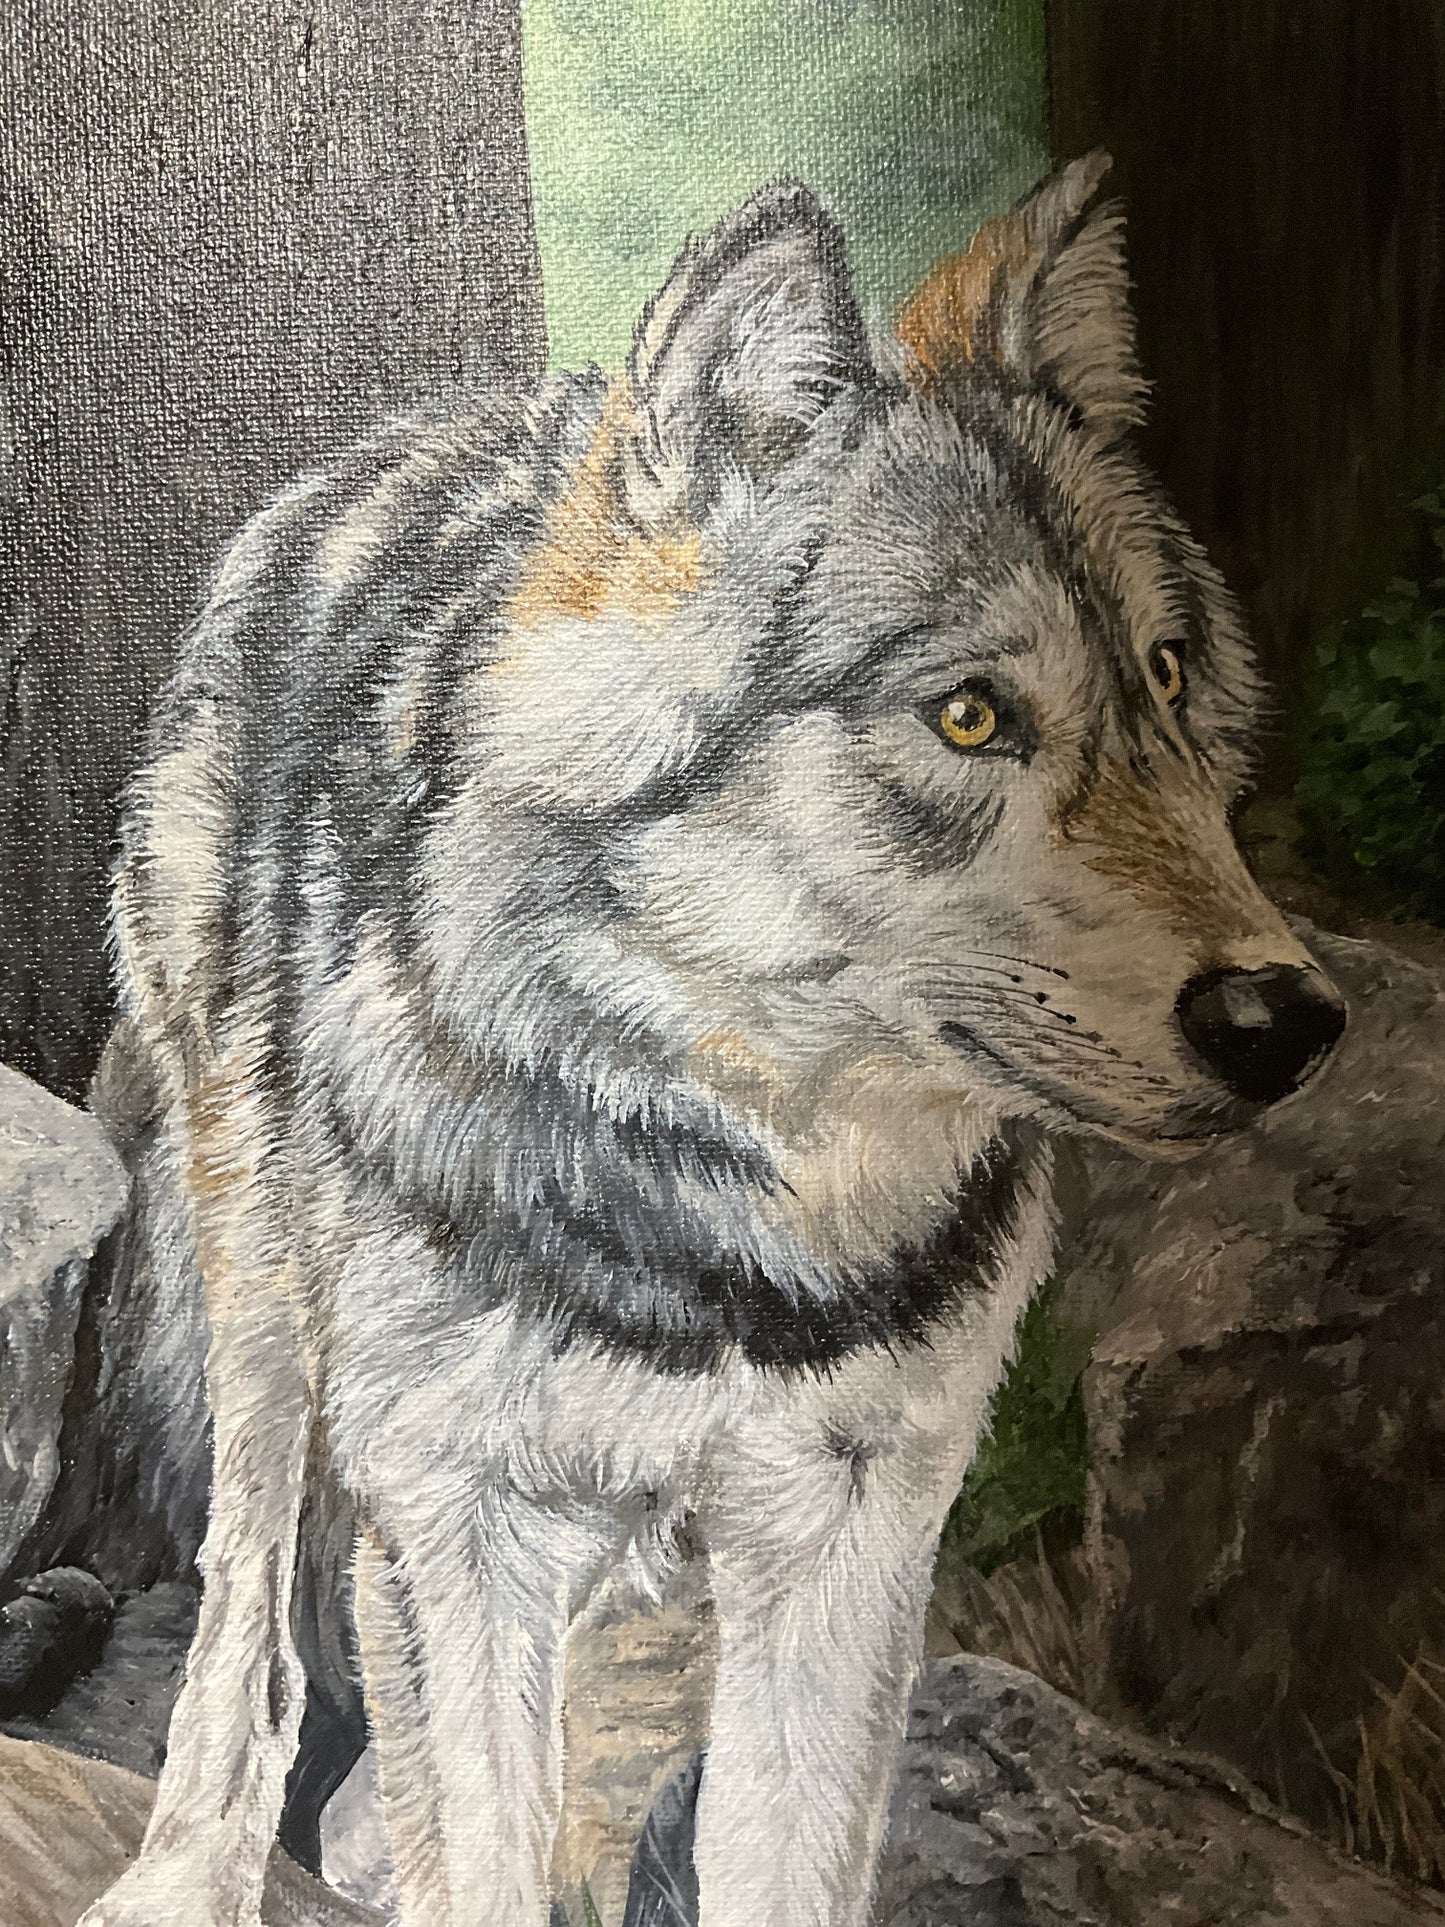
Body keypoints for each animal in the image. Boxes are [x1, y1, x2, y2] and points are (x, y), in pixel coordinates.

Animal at [79, 154, 1345, 1927]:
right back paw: (190, 1864)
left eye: (1167, 680)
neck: (734, 1220)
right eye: (971, 714)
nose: (1292, 1018)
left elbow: (770, 1853)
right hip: (260, 1315)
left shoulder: (849, 1537)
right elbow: (459, 1821)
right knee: (247, 1605)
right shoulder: (457, 1519)